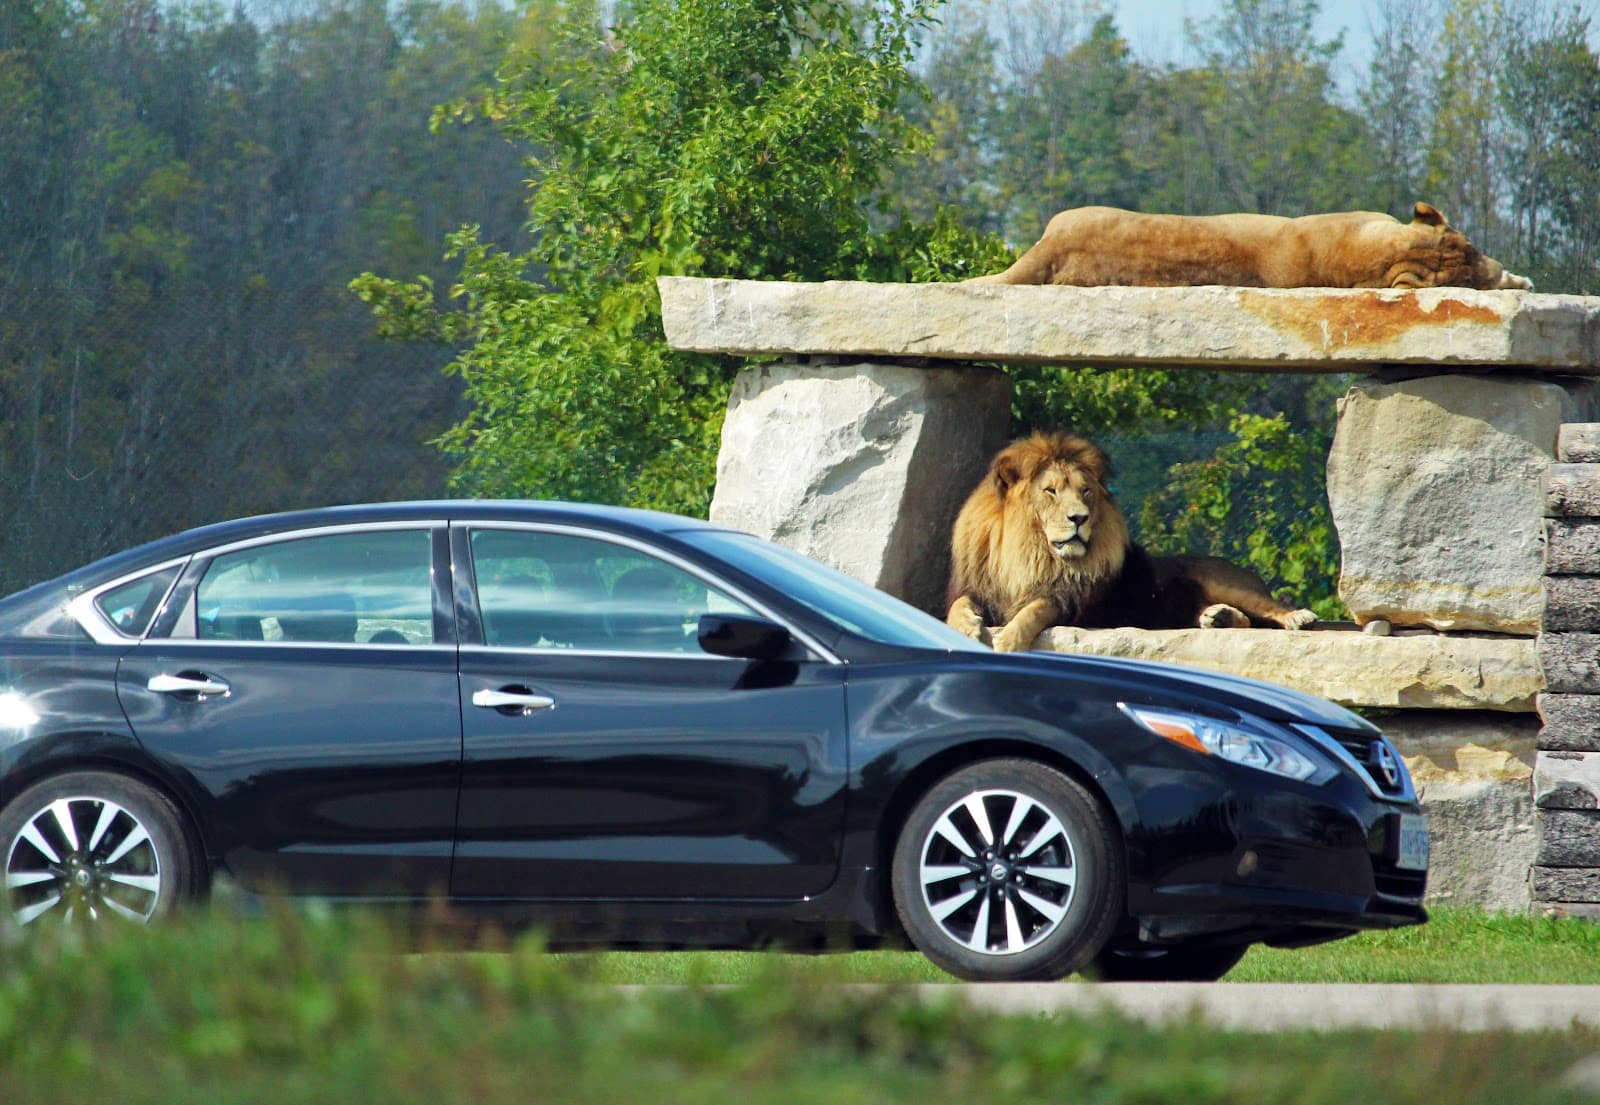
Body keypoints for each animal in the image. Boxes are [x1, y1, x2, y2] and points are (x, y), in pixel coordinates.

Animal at [945, 432, 1317, 652]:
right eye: (1050, 491)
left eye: (1086, 491)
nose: (1079, 517)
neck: (1030, 553)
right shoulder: (981, 588)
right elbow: (957, 606)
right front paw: (965, 628)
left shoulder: (1069, 601)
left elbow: (1035, 609)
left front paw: (1007, 641)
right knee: (1241, 621)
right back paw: (1218, 617)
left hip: (1227, 583)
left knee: (1266, 610)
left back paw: (1297, 618)